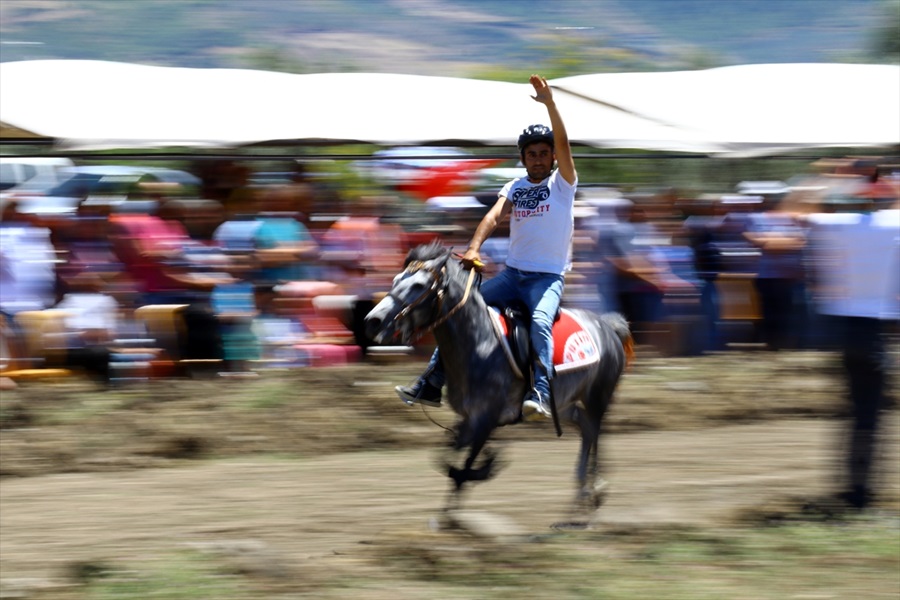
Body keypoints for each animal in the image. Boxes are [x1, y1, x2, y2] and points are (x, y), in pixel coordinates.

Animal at [366, 241, 632, 512]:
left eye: (419, 285)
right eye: (396, 279)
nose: (373, 320)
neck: (480, 344)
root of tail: (608, 326)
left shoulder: (486, 419)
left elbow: (462, 471)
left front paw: (453, 510)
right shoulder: (468, 418)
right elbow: (444, 458)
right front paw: (484, 466)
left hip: (598, 397)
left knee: (594, 431)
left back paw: (595, 489)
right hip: (566, 403)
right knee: (586, 428)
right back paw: (584, 491)